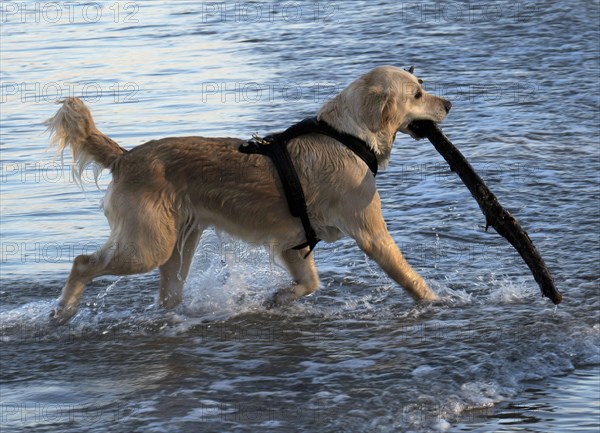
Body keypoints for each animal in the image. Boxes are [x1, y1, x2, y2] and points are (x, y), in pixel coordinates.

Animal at [45, 66, 450, 322]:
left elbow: (310, 282)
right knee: (82, 262)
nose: (448, 104)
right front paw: (437, 302)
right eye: (417, 93)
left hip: (177, 247)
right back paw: (62, 312)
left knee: (168, 296)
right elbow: (409, 277)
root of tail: (124, 157)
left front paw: (279, 298)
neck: (346, 135)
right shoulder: (371, 233)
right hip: (147, 246)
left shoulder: (293, 242)